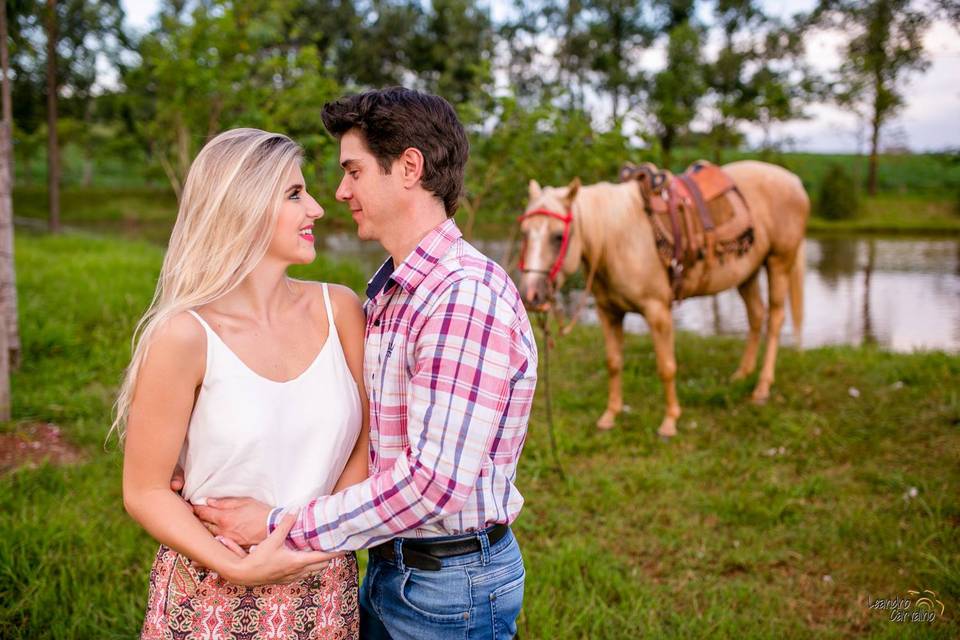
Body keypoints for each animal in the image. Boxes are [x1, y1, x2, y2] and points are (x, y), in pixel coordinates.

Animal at [516, 162, 808, 438]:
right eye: (525, 233)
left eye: (558, 236)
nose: (531, 295)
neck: (617, 238)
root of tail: (794, 180)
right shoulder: (608, 312)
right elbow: (613, 363)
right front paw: (610, 416)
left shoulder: (658, 311)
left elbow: (666, 367)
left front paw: (669, 421)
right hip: (747, 273)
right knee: (756, 315)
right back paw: (742, 374)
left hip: (779, 261)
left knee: (776, 318)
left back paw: (762, 388)